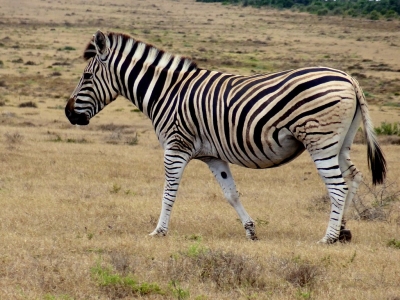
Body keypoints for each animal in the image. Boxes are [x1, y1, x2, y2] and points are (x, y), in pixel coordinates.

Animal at [65, 30, 388, 244]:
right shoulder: (212, 155)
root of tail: (349, 78)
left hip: (320, 141)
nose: (68, 113)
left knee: (337, 186)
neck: (166, 92)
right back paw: (343, 230)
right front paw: (251, 230)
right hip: (340, 142)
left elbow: (169, 191)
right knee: (353, 177)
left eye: (86, 77)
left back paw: (328, 237)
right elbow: (231, 193)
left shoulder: (175, 147)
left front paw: (159, 231)